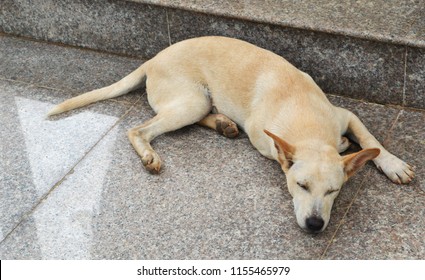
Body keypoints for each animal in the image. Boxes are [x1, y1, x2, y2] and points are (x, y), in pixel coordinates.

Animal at [47, 36, 414, 232]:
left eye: (334, 191)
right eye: (301, 186)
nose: (314, 225)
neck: (308, 125)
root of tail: (152, 59)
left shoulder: (346, 116)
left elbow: (371, 140)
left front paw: (392, 163)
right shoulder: (266, 141)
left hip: (196, 103)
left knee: (198, 117)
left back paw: (222, 124)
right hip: (191, 101)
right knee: (139, 129)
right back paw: (152, 154)